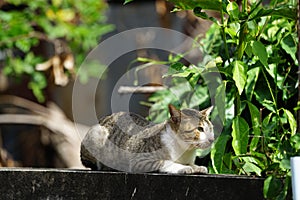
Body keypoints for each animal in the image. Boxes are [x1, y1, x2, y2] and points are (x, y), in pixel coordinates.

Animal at [81, 104, 214, 173]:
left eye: (210, 128)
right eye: (200, 129)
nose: (212, 139)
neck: (185, 150)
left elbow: (192, 164)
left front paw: (197, 167)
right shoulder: (139, 161)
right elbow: (165, 162)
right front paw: (183, 167)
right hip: (97, 133)